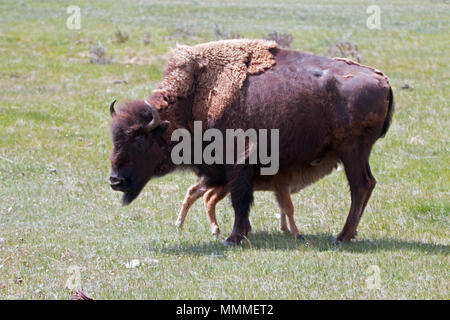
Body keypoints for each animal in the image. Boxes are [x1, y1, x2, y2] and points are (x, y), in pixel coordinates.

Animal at [108, 40, 394, 245]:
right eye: (114, 139)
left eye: (140, 142)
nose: (115, 180)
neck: (195, 101)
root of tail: (382, 80)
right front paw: (241, 233)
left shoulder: (239, 162)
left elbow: (240, 200)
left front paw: (233, 238)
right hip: (357, 153)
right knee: (367, 185)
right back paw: (348, 234)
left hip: (352, 151)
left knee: (360, 186)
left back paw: (341, 237)